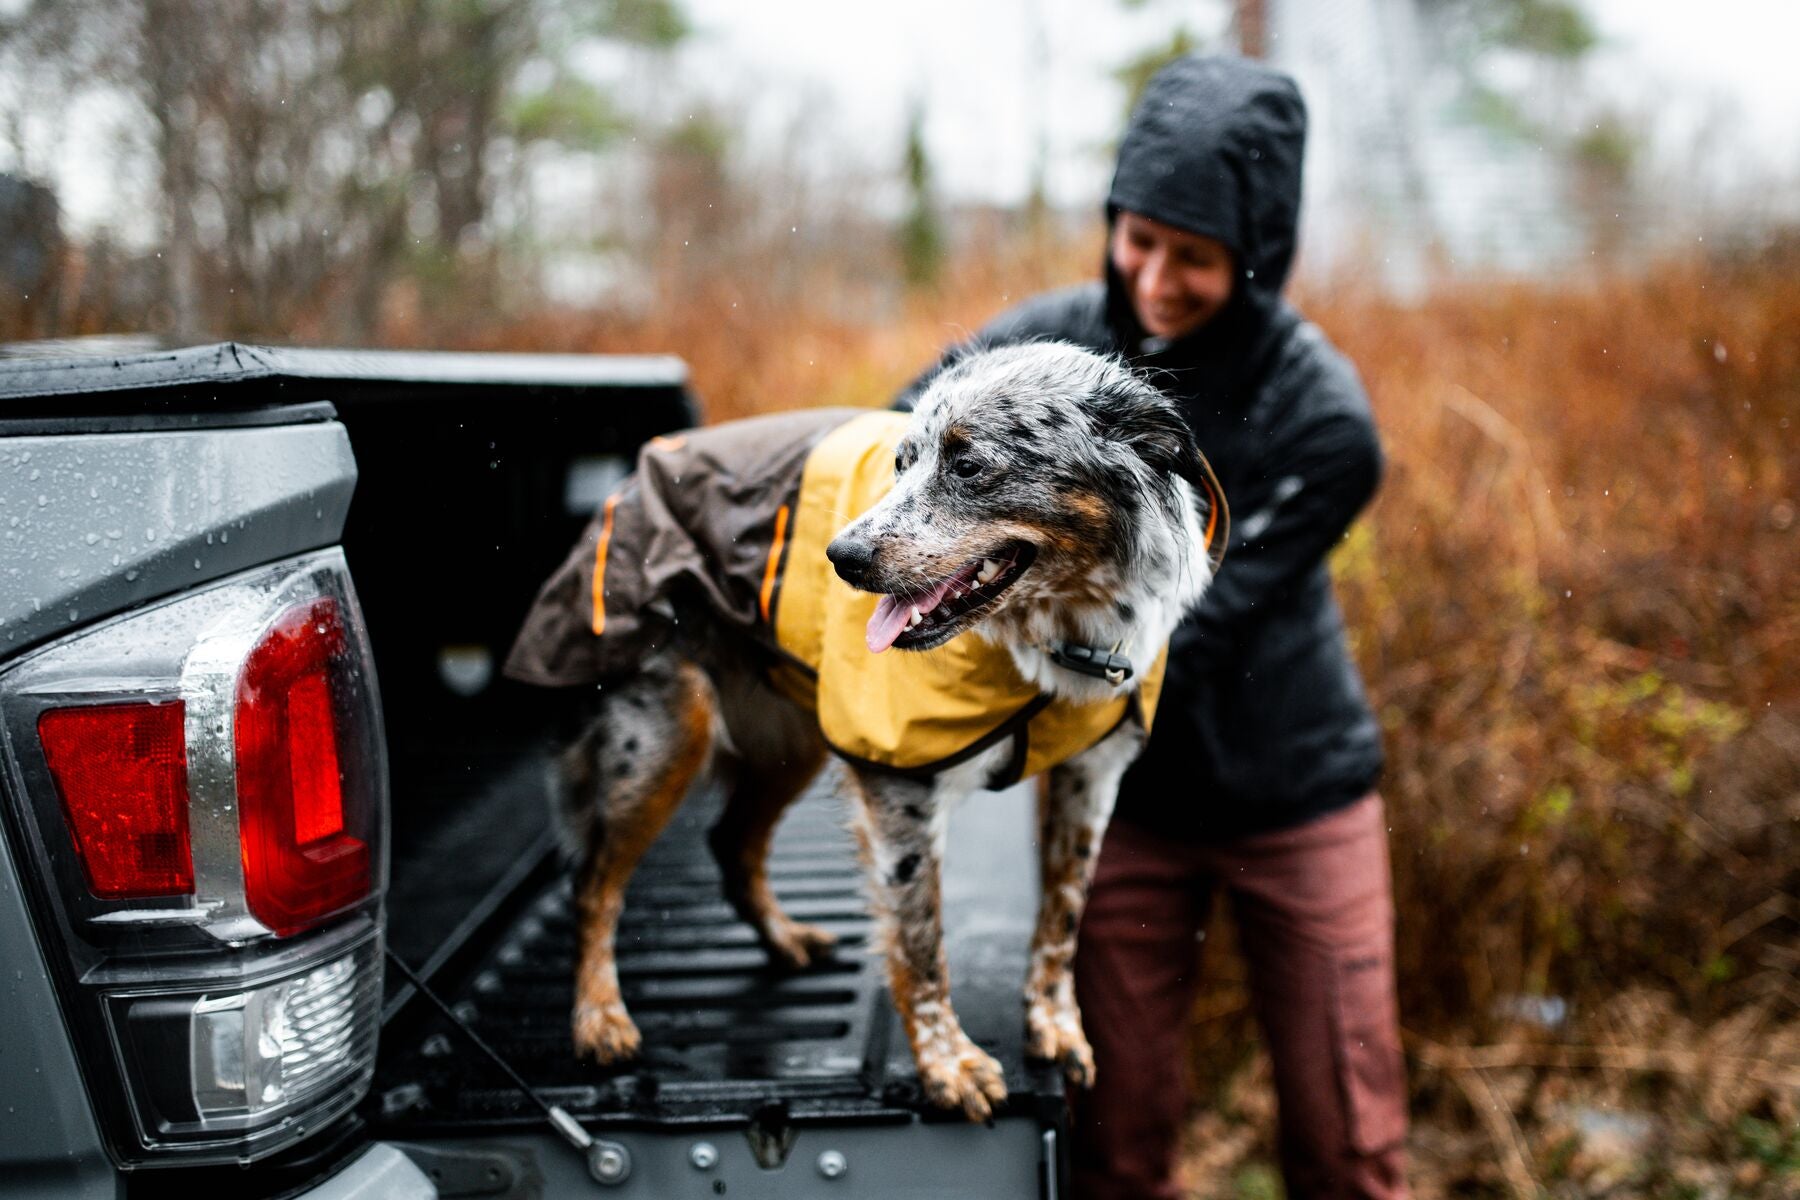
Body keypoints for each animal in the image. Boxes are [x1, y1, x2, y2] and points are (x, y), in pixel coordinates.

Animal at [504, 340, 1224, 1129]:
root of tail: (629, 480)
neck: (1060, 635)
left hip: (795, 739)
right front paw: (948, 1065)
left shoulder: (1091, 778)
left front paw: (1054, 1026)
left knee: (730, 841)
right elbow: (919, 943)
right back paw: (601, 1019)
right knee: (593, 884)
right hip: (668, 734)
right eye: (902, 462)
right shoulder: (900, 782)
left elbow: (1063, 916)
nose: (840, 558)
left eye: (968, 465)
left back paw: (785, 940)